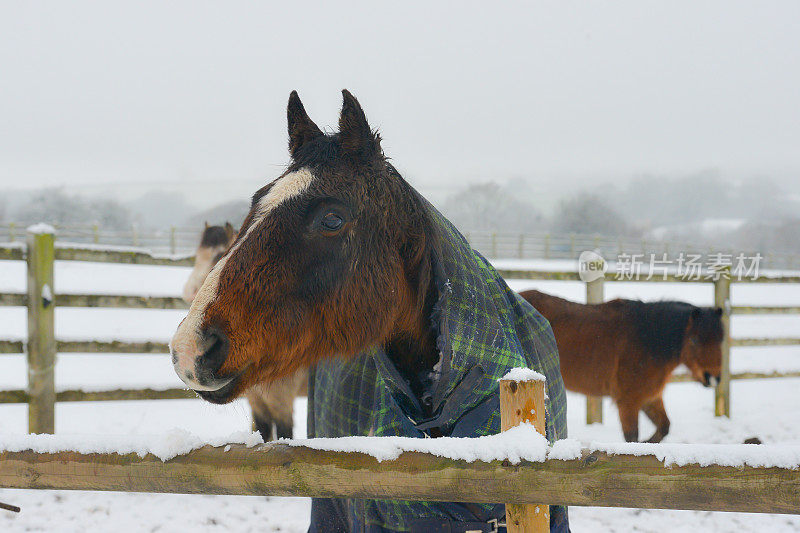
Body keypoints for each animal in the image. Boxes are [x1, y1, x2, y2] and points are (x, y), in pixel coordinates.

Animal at [520, 288, 724, 442]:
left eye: (721, 340)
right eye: (695, 340)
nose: (713, 378)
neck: (647, 339)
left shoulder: (650, 398)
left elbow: (664, 428)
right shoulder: (628, 401)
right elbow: (632, 438)